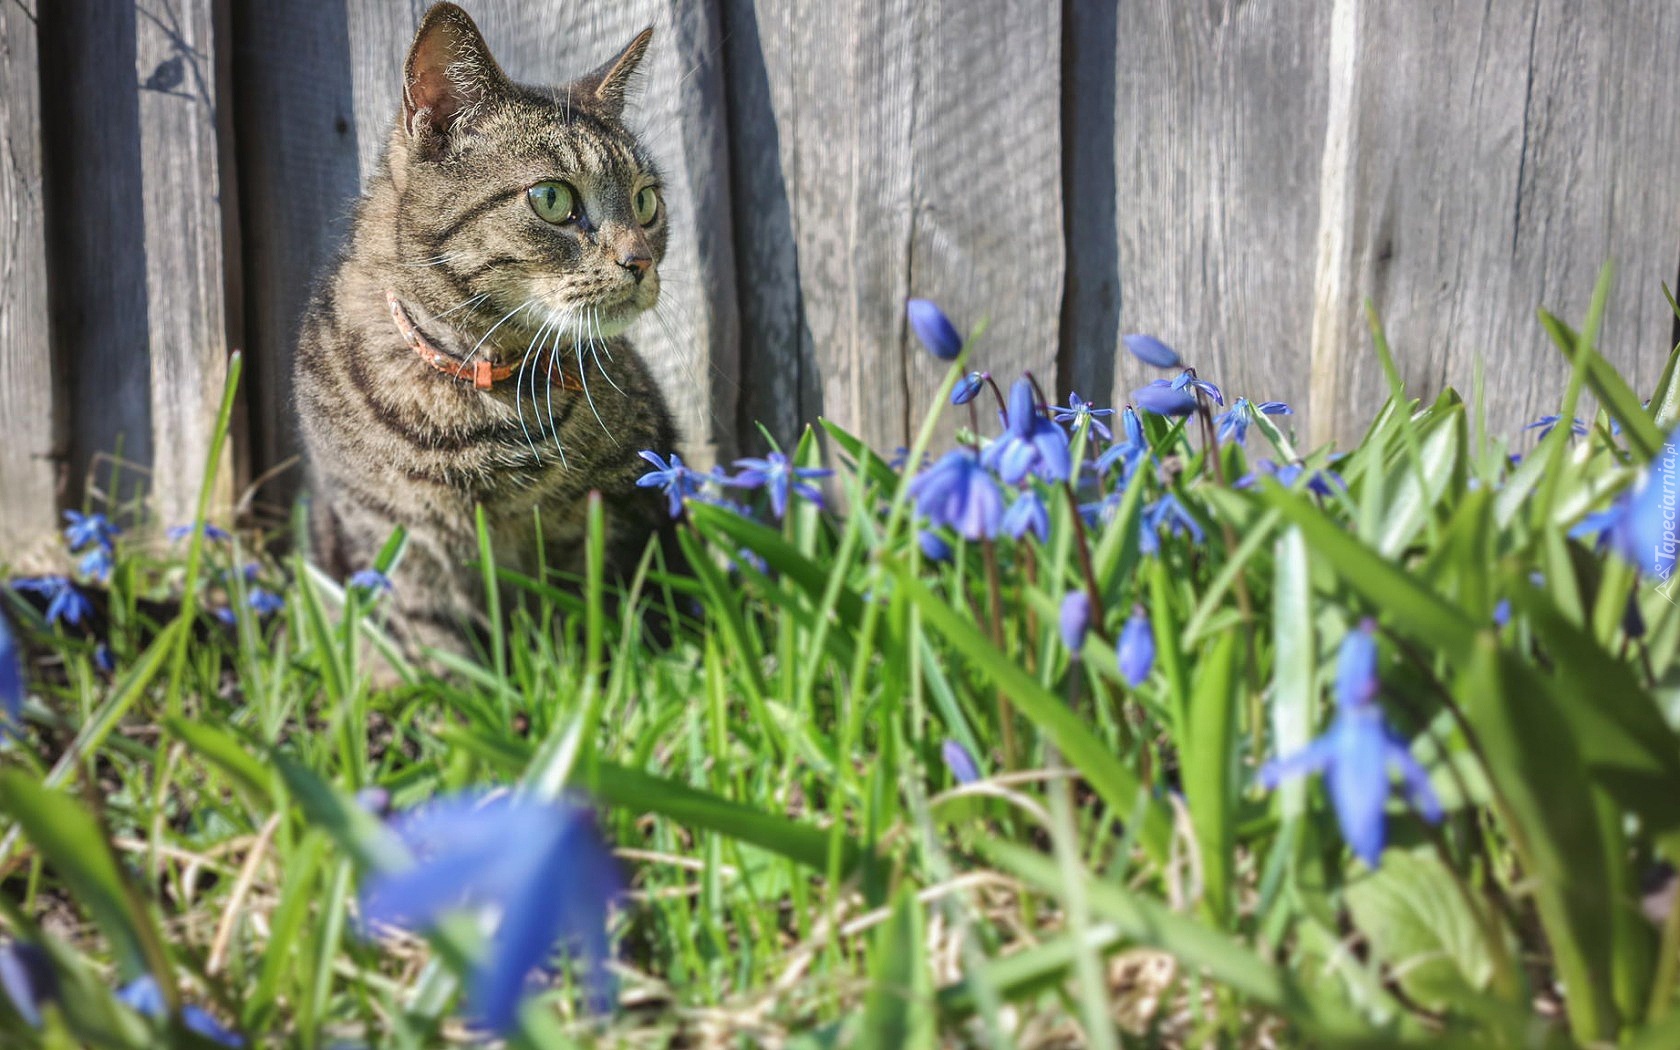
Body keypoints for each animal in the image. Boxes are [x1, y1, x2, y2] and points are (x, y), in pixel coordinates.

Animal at [294, 4, 675, 655]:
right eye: (551, 198)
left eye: (646, 202)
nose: (641, 260)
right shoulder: (397, 544)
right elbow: (440, 655)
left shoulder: (627, 504)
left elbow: (605, 626)